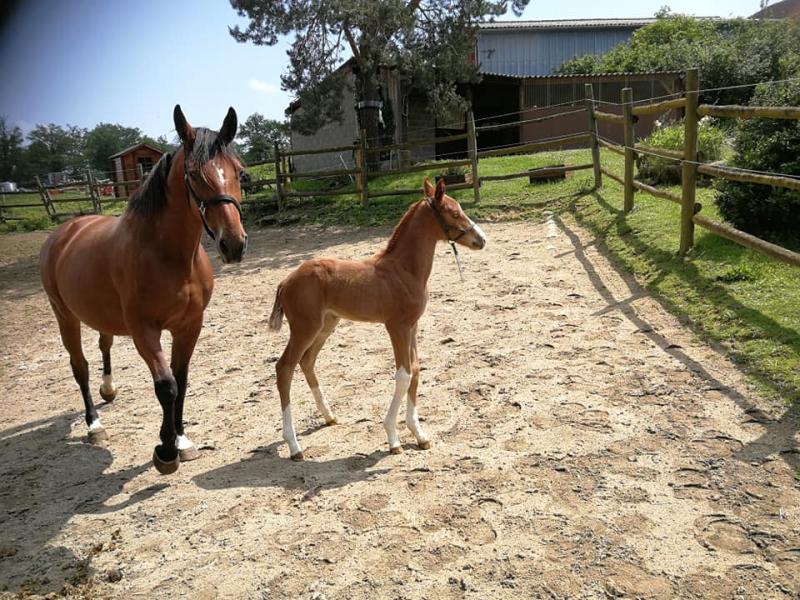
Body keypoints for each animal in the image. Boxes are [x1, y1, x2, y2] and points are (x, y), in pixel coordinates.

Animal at [39, 105, 247, 474]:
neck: (167, 256)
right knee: (79, 366)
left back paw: (109, 389)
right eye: (194, 174)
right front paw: (165, 451)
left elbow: (182, 379)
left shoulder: (189, 326)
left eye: (239, 171)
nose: (233, 244)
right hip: (65, 316)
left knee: (104, 344)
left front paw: (181, 440)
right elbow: (166, 386)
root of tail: (65, 231)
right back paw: (94, 425)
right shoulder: (144, 330)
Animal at [268, 178, 486, 460]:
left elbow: (416, 370)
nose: (481, 239)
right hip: (304, 328)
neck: (403, 270)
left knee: (307, 362)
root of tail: (286, 281)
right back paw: (294, 446)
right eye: (455, 213)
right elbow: (403, 374)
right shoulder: (396, 326)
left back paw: (329, 417)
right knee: (284, 368)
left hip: (327, 325)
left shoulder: (412, 326)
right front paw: (393, 438)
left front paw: (419, 435)